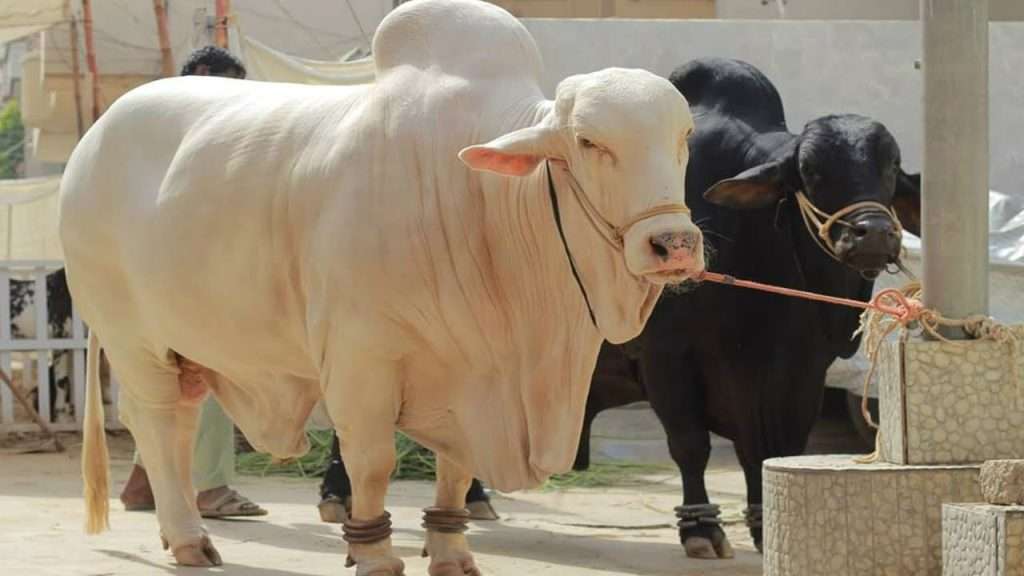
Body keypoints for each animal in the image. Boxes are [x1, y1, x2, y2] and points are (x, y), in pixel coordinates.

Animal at [60, 1, 705, 573]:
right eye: (589, 142)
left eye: (685, 136)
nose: (673, 243)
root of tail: (92, 140)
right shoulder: (360, 360)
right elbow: (372, 463)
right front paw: (372, 554)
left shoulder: (466, 375)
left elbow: (455, 471)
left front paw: (451, 553)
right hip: (134, 340)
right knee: (157, 423)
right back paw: (190, 538)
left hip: (187, 346)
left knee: (182, 422)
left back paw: (180, 533)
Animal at [570, 57, 922, 559]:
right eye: (810, 169)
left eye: (891, 166)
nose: (872, 233)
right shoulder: (665, 358)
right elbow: (690, 446)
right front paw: (700, 528)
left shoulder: (798, 373)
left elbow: (769, 451)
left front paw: (763, 525)